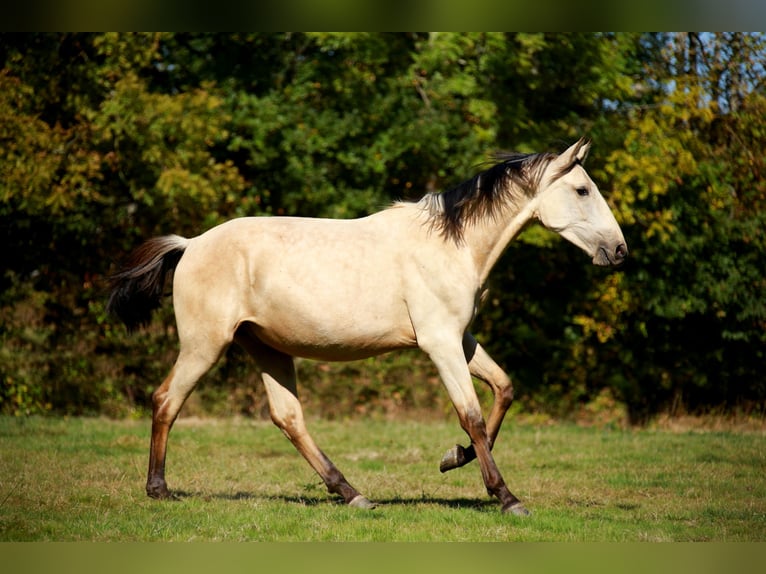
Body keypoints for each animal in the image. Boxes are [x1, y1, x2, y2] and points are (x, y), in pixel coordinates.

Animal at [108, 140, 632, 516]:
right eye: (583, 190)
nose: (620, 250)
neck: (453, 245)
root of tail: (191, 243)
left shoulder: (460, 339)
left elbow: (503, 389)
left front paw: (453, 458)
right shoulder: (440, 344)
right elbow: (473, 416)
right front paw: (506, 498)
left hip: (265, 348)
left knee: (288, 418)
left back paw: (352, 493)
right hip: (205, 345)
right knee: (166, 401)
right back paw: (159, 490)